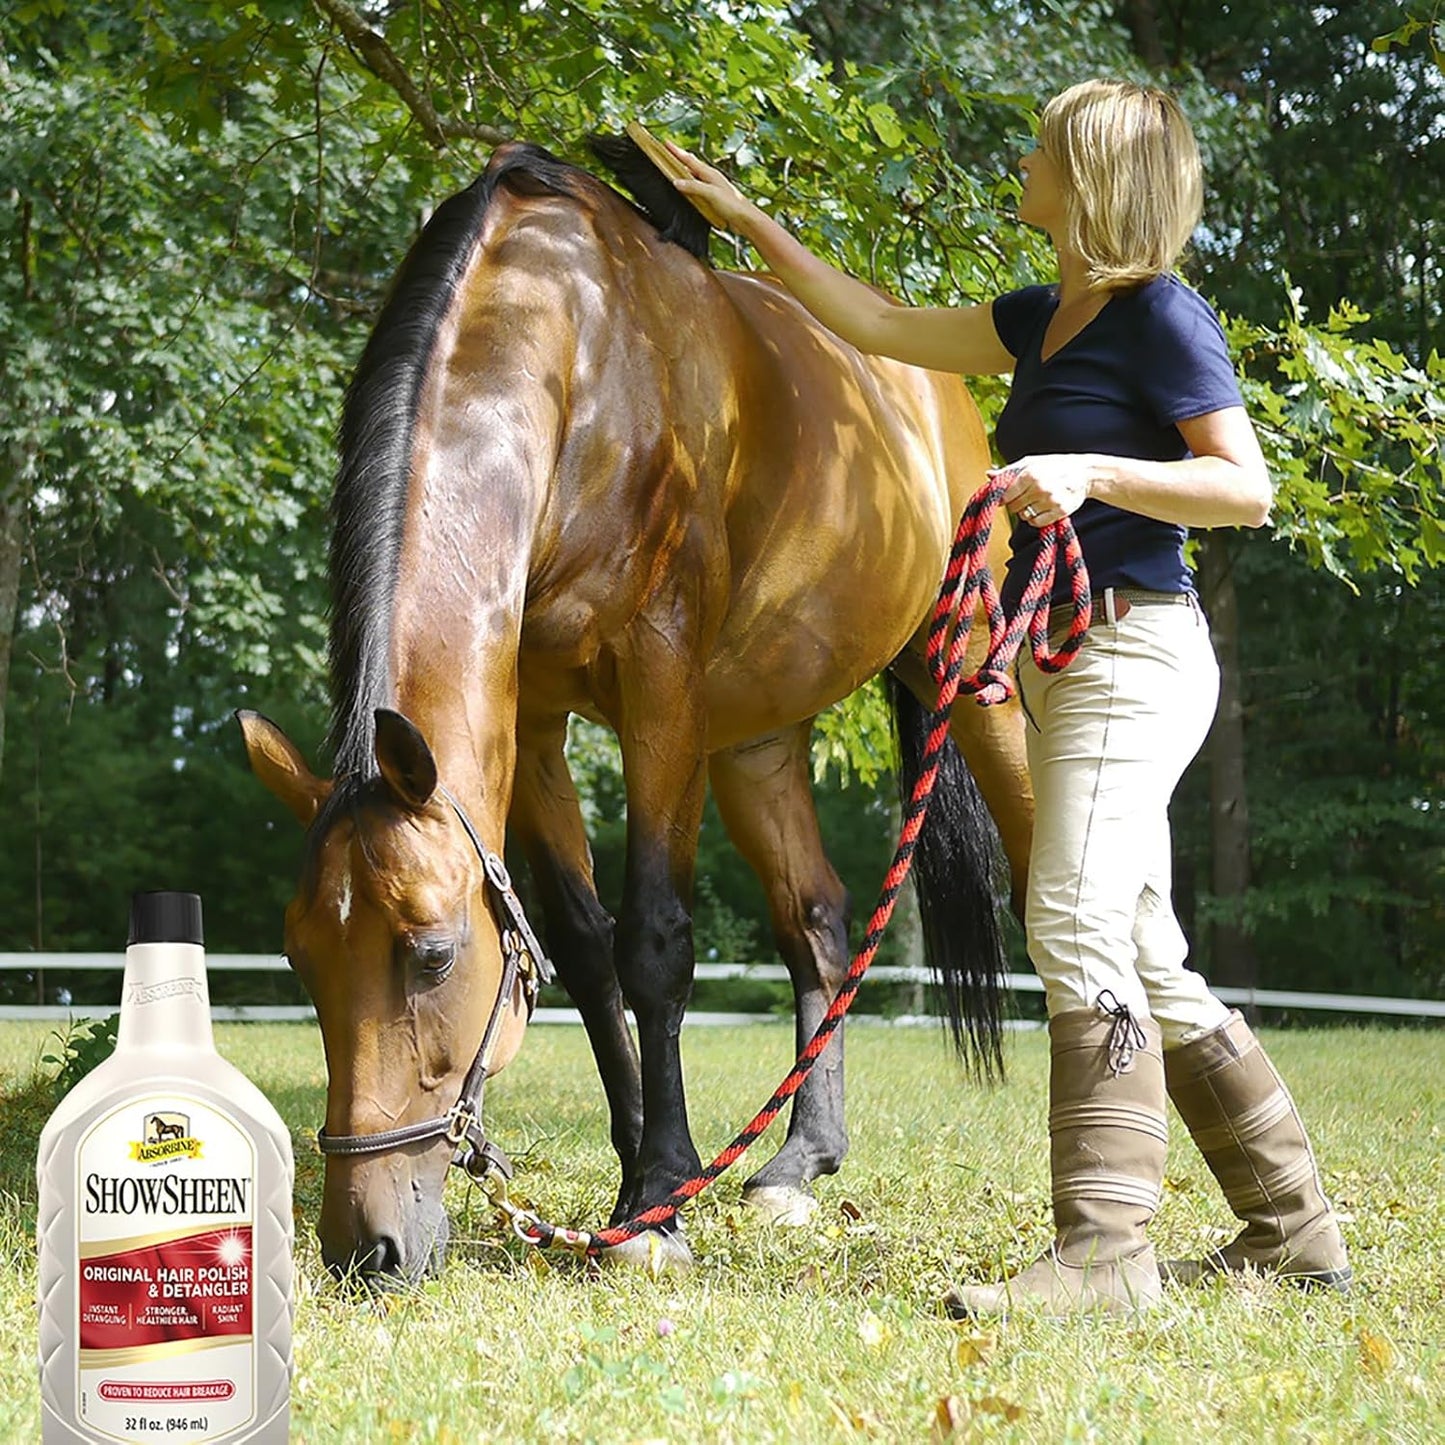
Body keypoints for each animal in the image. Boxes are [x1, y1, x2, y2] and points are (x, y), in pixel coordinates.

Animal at [237, 136, 1033, 1282]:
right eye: (300, 955)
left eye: (430, 952)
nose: (369, 1245)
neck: (578, 355)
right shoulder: (530, 721)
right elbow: (580, 944)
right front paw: (639, 1180)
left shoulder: (659, 684)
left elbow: (653, 942)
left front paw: (657, 1197)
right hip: (755, 735)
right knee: (817, 919)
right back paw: (797, 1160)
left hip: (968, 680)